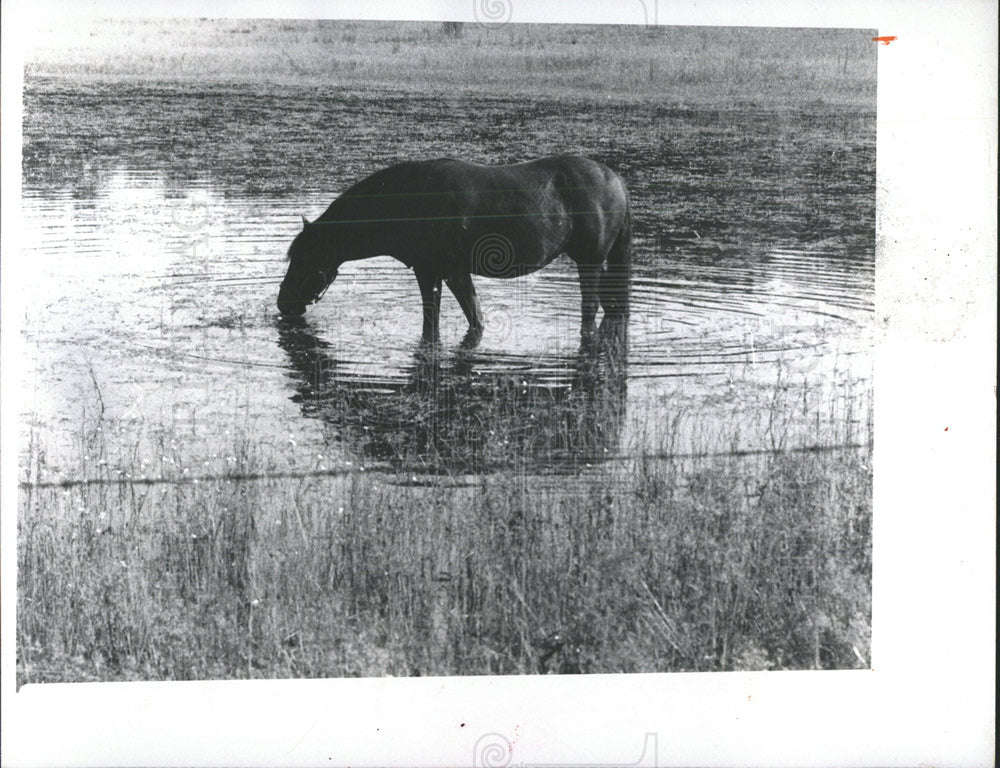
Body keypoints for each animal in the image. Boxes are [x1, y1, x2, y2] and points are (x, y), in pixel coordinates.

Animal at [278, 154, 628, 344]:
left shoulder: (433, 272)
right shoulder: (450, 273)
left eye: (304, 258)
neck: (409, 198)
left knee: (590, 308)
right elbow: (469, 319)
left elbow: (440, 318)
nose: (283, 303)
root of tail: (615, 179)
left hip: (590, 262)